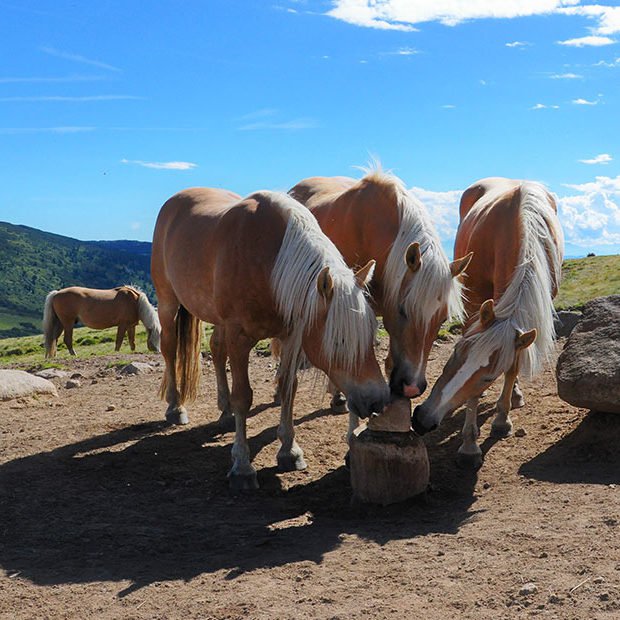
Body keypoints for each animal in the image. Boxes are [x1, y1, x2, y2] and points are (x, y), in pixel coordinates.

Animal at [150, 186, 388, 492]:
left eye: (371, 337)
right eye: (340, 342)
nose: (377, 401)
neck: (269, 261)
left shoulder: (288, 335)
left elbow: (288, 388)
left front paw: (289, 451)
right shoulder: (239, 337)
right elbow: (243, 397)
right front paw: (242, 466)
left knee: (216, 350)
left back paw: (224, 413)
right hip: (168, 303)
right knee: (169, 349)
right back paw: (175, 407)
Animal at [412, 177, 568, 468]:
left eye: (488, 377)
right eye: (455, 353)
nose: (422, 420)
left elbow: (513, 366)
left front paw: (502, 419)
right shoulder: (474, 301)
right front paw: (469, 444)